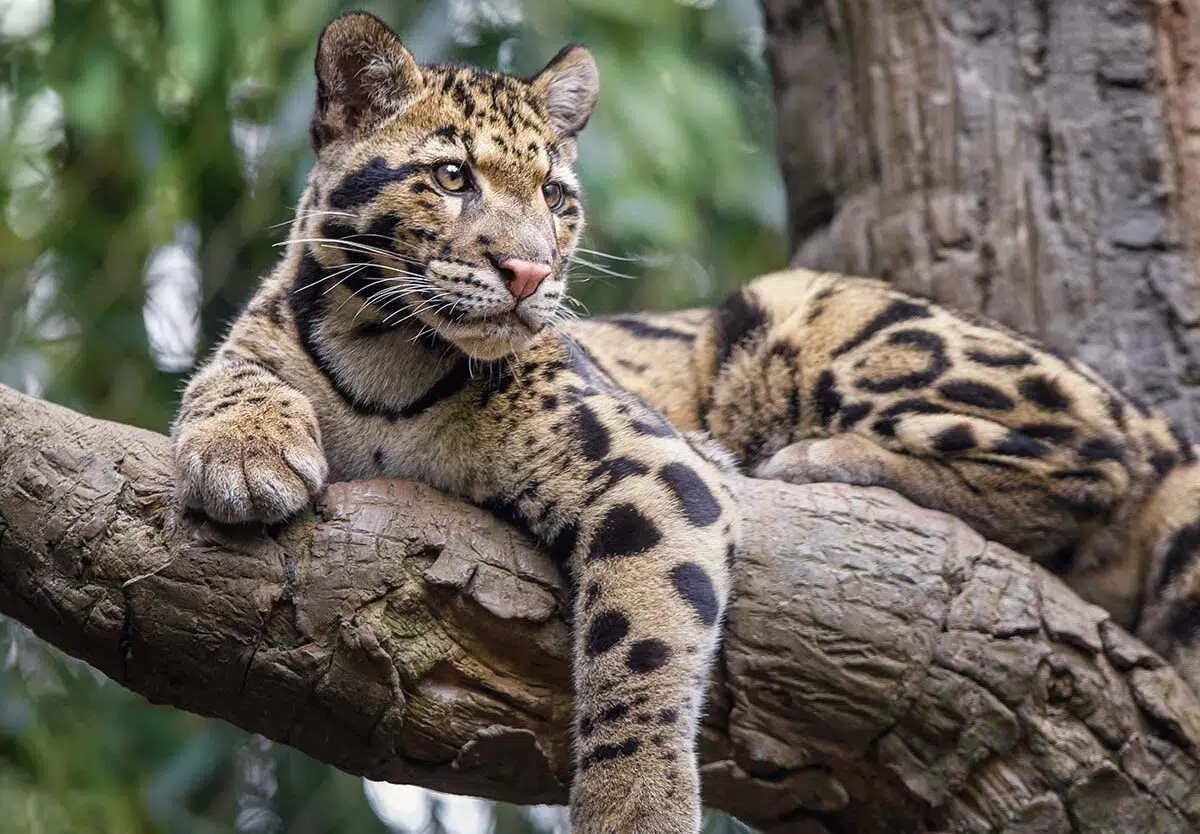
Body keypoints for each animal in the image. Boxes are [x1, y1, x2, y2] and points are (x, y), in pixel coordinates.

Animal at [172, 13, 737, 834]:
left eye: (555, 195)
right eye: (450, 177)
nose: (531, 272)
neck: (386, 354)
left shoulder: (654, 460)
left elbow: (644, 642)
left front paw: (635, 806)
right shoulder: (257, 336)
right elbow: (228, 373)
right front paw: (244, 454)